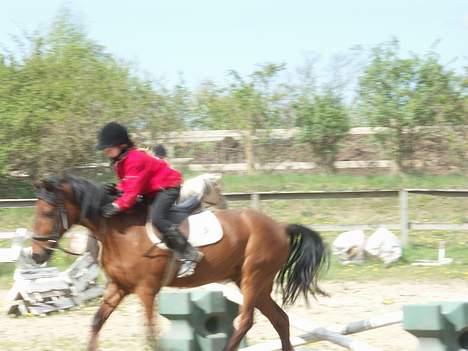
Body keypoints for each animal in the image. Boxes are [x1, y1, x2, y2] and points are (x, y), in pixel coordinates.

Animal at [31, 176, 328, 351]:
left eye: (48, 212)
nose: (36, 255)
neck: (118, 230)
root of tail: (280, 227)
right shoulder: (118, 287)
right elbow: (95, 324)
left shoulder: (146, 291)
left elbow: (151, 336)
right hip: (255, 283)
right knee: (280, 319)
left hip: (252, 278)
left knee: (246, 321)